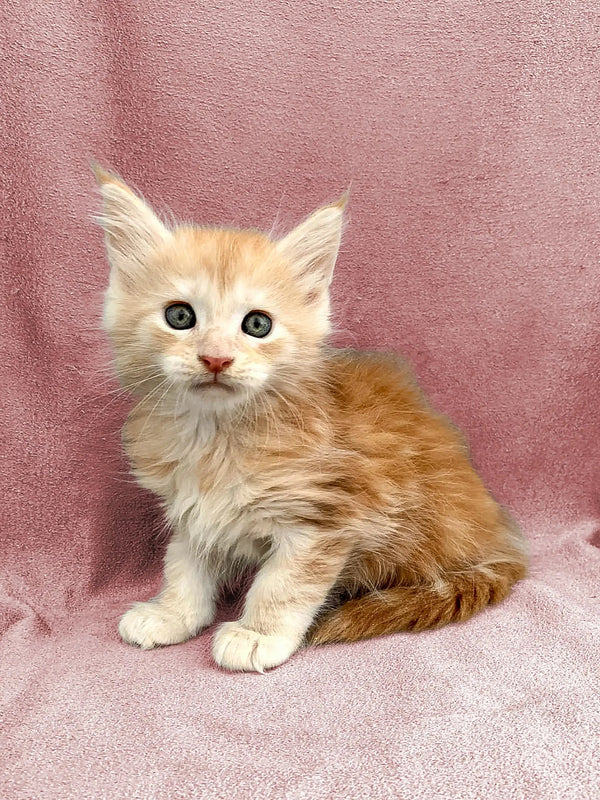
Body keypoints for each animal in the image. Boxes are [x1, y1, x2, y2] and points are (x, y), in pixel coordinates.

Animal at [94, 166, 524, 672]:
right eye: (179, 316)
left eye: (257, 324)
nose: (216, 359)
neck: (216, 437)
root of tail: (503, 541)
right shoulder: (189, 507)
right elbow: (184, 565)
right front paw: (172, 614)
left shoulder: (328, 516)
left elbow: (283, 584)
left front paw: (258, 634)